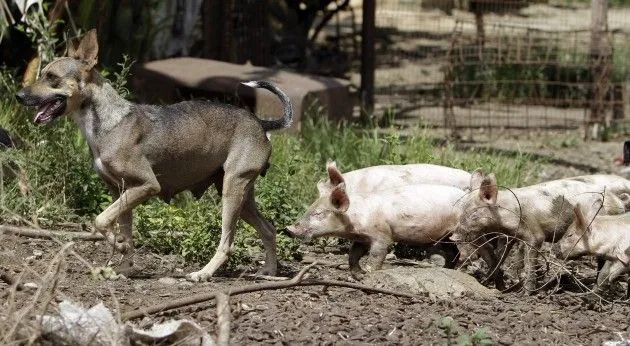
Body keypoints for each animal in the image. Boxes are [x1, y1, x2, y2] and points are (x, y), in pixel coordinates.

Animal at [14, 28, 296, 280]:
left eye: (51, 77)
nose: (18, 96)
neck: (107, 122)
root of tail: (260, 123)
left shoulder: (147, 185)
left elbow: (100, 220)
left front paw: (118, 245)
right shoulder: (121, 192)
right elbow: (124, 231)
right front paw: (124, 266)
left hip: (232, 191)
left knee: (227, 242)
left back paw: (203, 273)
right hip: (240, 195)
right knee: (269, 229)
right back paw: (270, 271)